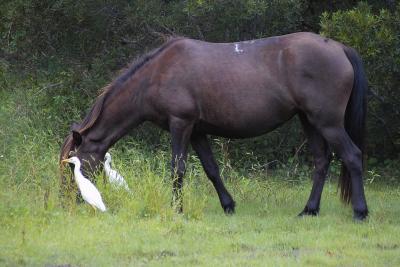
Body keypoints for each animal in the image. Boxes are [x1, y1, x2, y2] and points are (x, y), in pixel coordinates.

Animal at [59, 31, 368, 220]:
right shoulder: (197, 131)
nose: (68, 200)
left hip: (328, 123)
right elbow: (211, 170)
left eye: (73, 163)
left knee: (352, 156)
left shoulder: (181, 125)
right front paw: (228, 205)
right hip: (310, 121)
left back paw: (360, 211)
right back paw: (309, 210)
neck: (157, 74)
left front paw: (177, 209)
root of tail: (340, 48)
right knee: (321, 162)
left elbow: (178, 169)